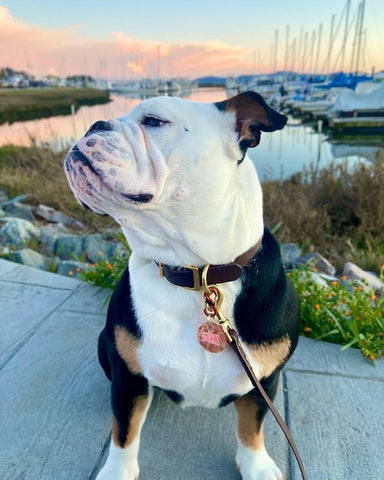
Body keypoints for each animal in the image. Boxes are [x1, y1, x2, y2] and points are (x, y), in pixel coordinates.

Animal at [64, 91, 302, 480]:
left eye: (154, 121)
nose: (93, 124)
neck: (197, 273)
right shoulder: (129, 376)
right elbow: (124, 429)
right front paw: (117, 470)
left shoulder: (264, 379)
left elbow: (252, 424)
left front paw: (256, 466)